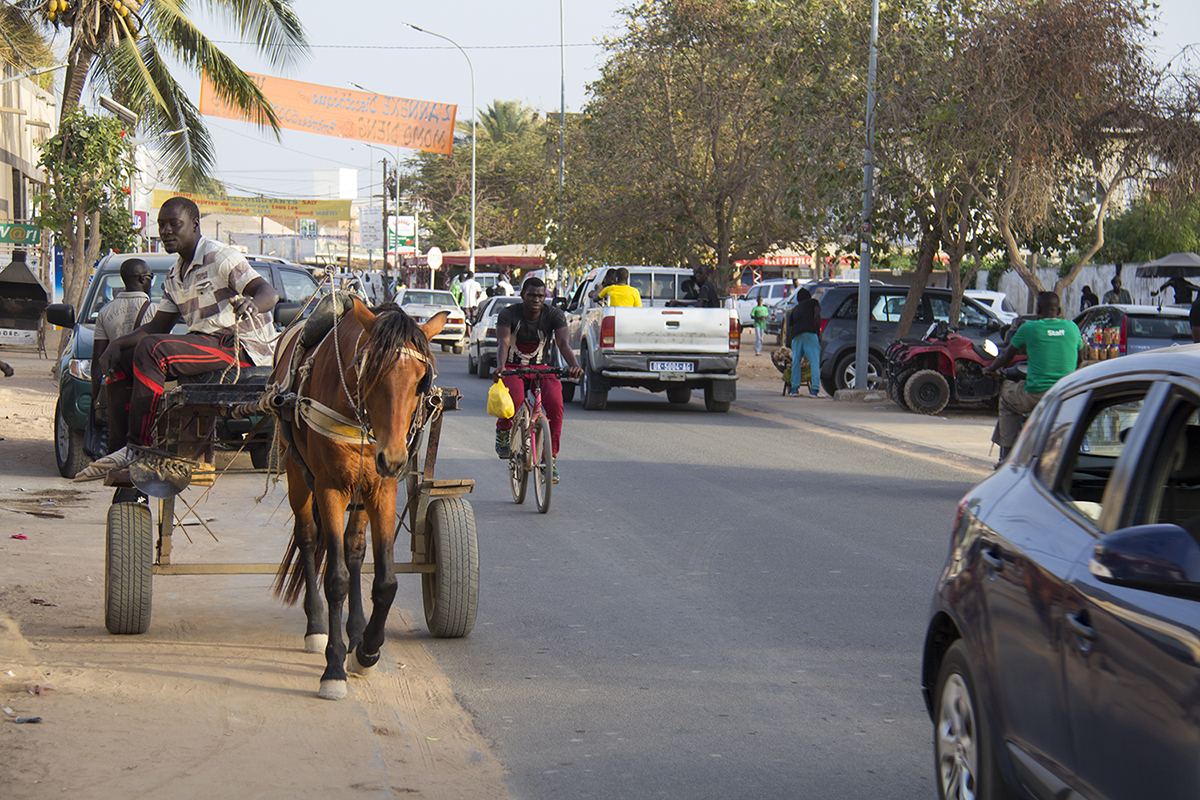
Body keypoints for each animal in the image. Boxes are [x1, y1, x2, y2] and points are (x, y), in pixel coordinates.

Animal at [270, 297, 448, 695]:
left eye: (421, 381)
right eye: (371, 375)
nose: (394, 458)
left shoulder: (381, 488)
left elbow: (385, 581)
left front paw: (366, 650)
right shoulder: (329, 487)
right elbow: (334, 578)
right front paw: (334, 668)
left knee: (353, 547)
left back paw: (354, 633)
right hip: (297, 473)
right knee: (308, 538)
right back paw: (317, 626)